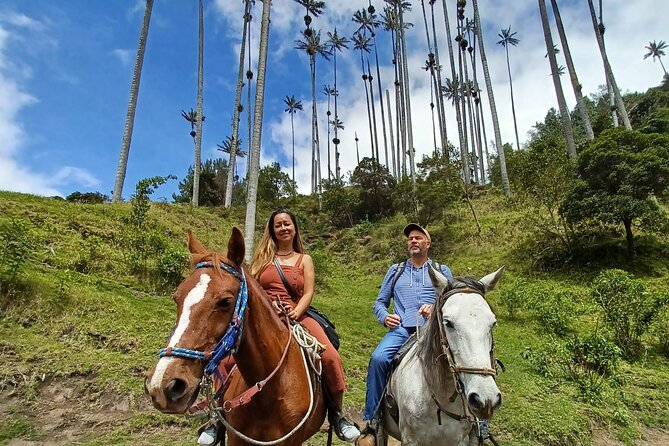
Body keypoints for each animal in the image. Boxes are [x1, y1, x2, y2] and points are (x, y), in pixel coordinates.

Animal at [376, 266, 500, 444]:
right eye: (448, 323)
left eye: (493, 323)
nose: (486, 400)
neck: (441, 400)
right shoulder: (410, 440)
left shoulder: (460, 441)